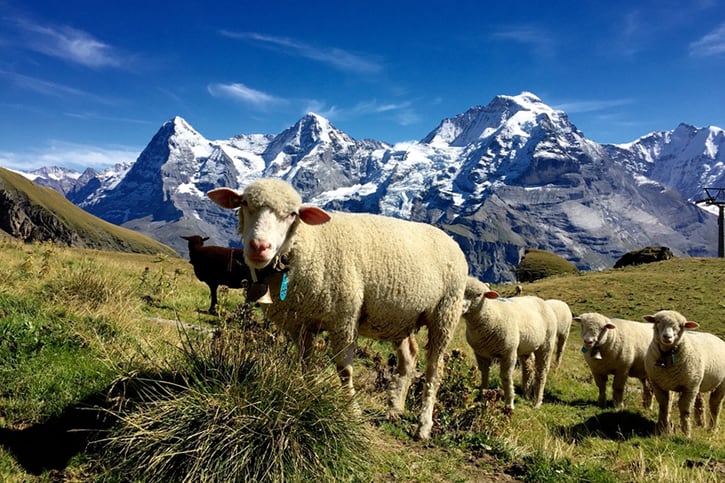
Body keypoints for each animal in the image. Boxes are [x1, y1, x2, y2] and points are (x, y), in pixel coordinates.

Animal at [206, 177, 466, 438]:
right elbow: (305, 364)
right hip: (398, 319)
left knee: (434, 370)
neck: (306, 247)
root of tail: (450, 239)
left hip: (445, 313)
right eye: (244, 203)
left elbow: (344, 369)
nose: (260, 246)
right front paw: (309, 396)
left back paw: (423, 426)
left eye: (292, 214)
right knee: (409, 359)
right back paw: (394, 409)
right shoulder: (300, 324)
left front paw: (352, 412)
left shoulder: (344, 317)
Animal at [460, 278, 556, 410]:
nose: (460, 307)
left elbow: (506, 376)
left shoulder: (508, 352)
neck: (492, 315)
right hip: (526, 346)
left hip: (547, 344)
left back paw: (537, 402)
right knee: (528, 368)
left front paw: (509, 403)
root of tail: (542, 301)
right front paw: (482, 396)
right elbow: (484, 373)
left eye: (478, 294)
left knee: (542, 372)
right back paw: (526, 394)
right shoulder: (480, 353)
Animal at [644, 310, 724, 438]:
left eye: (681, 325)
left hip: (719, 384)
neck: (667, 356)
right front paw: (663, 429)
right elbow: (664, 406)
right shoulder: (658, 384)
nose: (667, 337)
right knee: (700, 403)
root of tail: (716, 337)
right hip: (697, 381)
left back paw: (712, 429)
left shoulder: (689, 388)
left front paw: (686, 434)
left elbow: (685, 410)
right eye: (658, 321)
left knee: (715, 405)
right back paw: (700, 424)